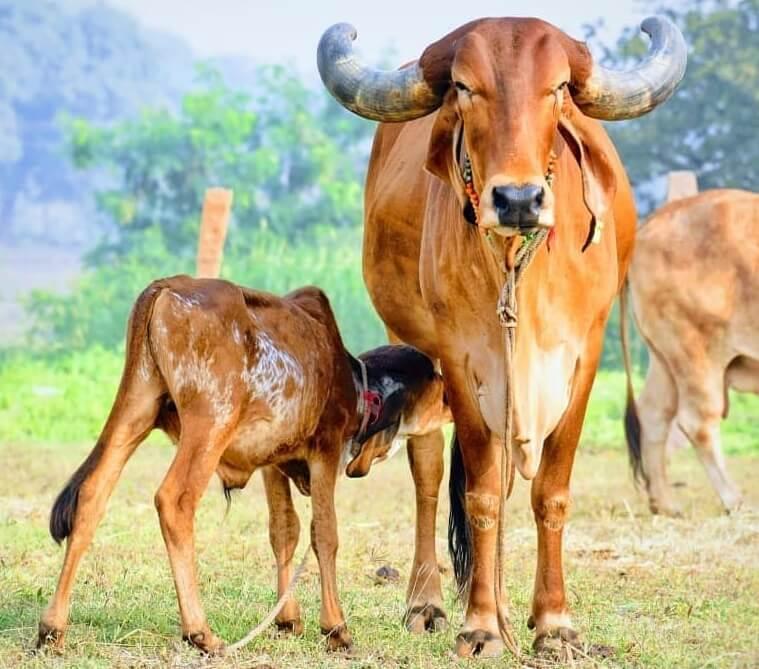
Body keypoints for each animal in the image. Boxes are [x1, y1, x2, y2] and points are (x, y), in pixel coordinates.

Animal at [36, 275, 450, 654]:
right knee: (174, 501)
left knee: (91, 495)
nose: (452, 402)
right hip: (210, 422)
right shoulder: (326, 451)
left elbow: (285, 530)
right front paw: (336, 628)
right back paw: (200, 632)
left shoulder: (272, 462)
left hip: (137, 408)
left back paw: (52, 629)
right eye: (437, 382)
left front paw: (288, 619)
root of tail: (166, 287)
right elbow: (325, 535)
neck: (351, 380)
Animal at [317, 15, 686, 657]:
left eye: (558, 88)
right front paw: (482, 624)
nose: (517, 200)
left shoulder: (583, 360)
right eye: (465, 87)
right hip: (414, 348)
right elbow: (481, 493)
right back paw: (429, 601)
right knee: (429, 472)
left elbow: (549, 493)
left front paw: (554, 621)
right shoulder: (463, 361)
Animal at [622, 189, 756, 517]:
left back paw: (665, 504)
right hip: (695, 351)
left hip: (663, 357)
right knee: (699, 422)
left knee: (653, 414)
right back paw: (734, 500)